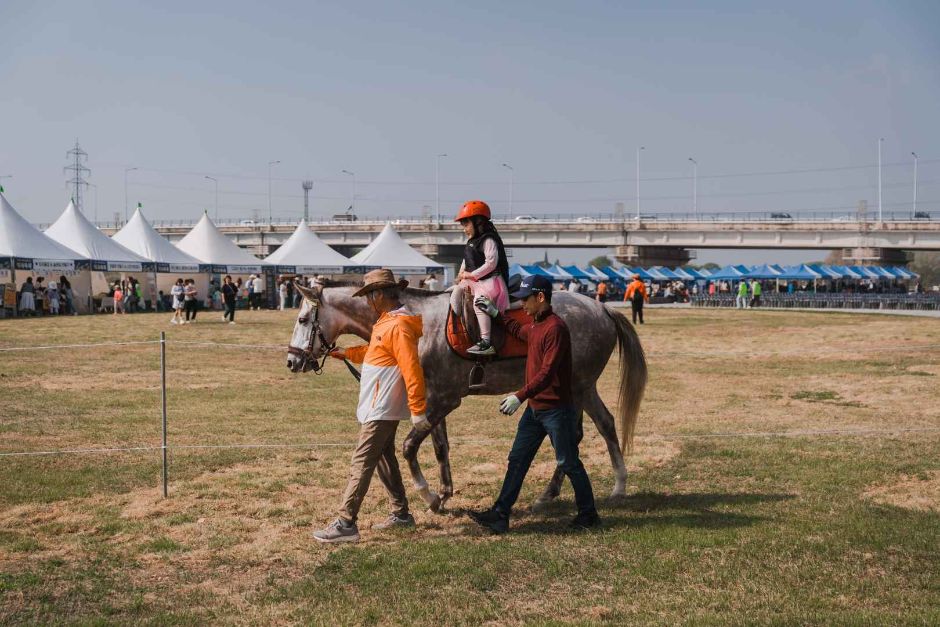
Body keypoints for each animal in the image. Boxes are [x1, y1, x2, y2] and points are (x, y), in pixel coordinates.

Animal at [286, 282, 648, 512]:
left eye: (303, 319)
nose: (292, 361)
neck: (416, 323)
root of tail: (601, 308)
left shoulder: (446, 399)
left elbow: (409, 446)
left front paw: (430, 496)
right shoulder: (434, 399)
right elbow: (439, 447)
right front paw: (445, 493)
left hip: (579, 386)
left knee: (590, 429)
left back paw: (614, 486)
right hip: (575, 389)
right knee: (588, 430)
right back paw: (560, 492)